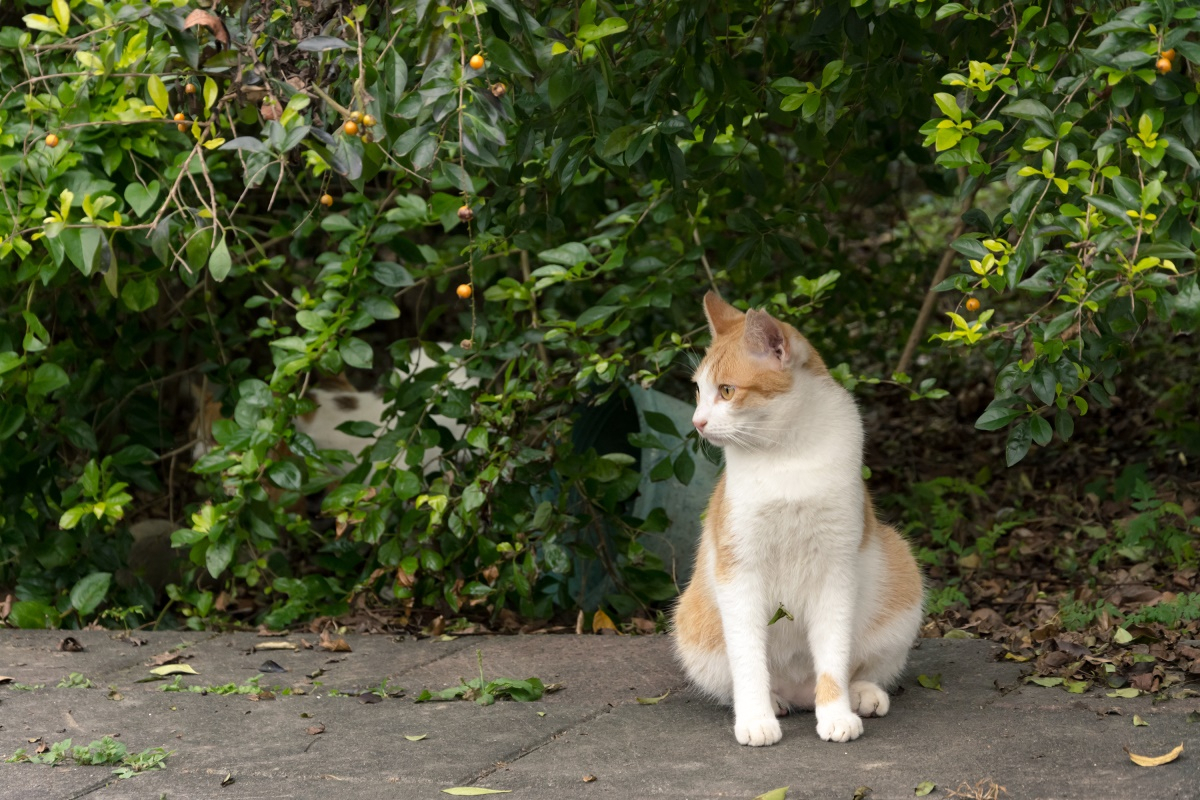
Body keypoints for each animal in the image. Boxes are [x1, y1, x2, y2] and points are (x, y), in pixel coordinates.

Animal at [672, 292, 921, 743]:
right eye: (698, 391)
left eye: (727, 391)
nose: (697, 423)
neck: (786, 454)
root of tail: (799, 693)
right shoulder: (739, 570)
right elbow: (748, 659)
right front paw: (755, 719)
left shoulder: (836, 570)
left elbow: (834, 656)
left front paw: (836, 713)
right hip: (692, 624)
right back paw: (772, 703)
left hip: (902, 572)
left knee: (862, 667)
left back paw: (862, 694)